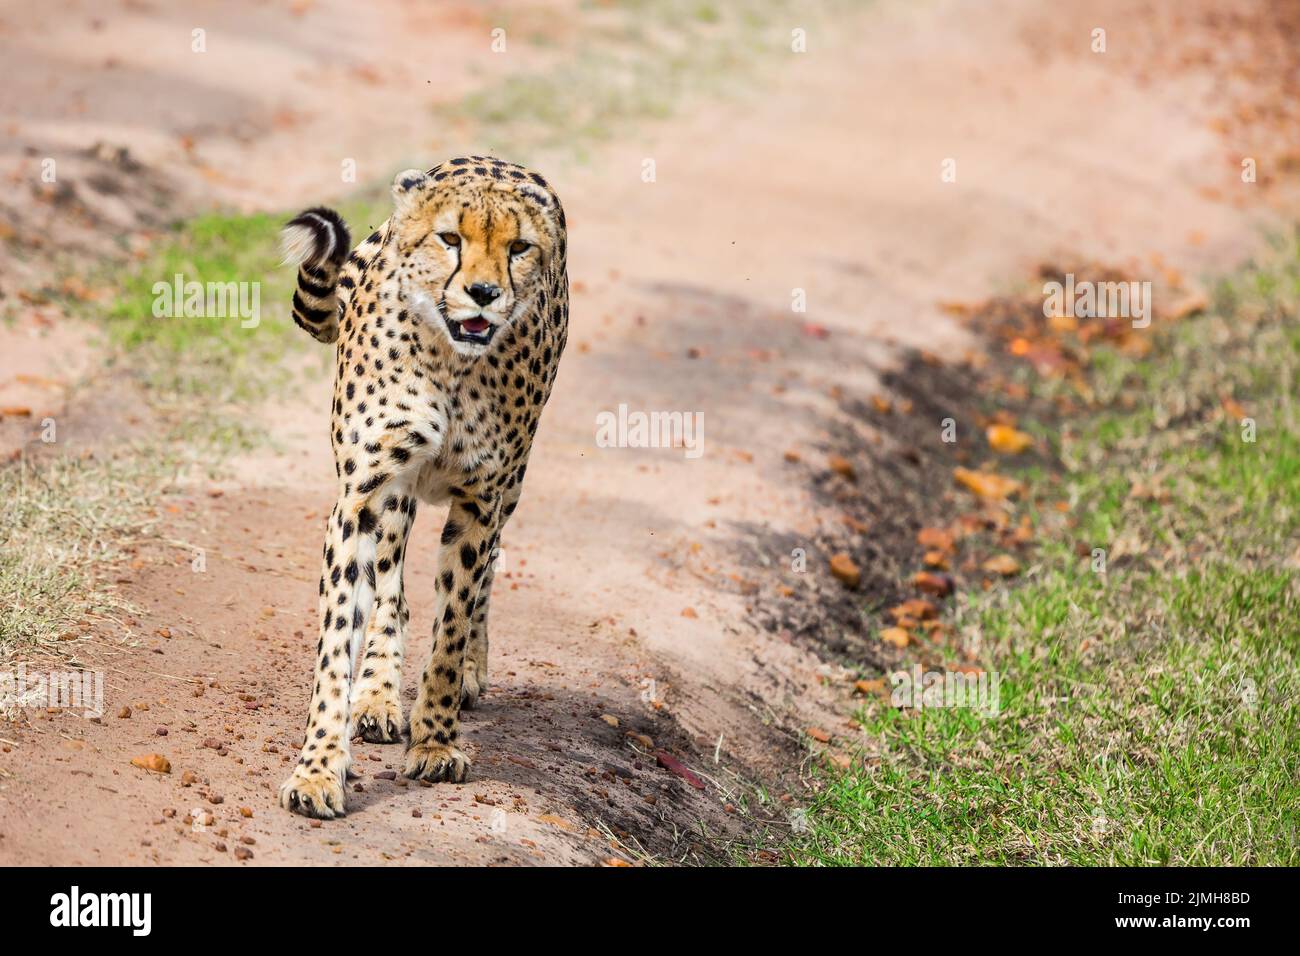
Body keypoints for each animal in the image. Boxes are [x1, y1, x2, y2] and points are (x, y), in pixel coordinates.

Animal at [276, 153, 566, 816]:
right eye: (450, 238)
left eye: (518, 248)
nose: (484, 293)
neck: (452, 362)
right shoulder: (362, 493)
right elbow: (339, 638)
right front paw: (319, 768)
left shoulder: (482, 501)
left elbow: (453, 623)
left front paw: (435, 740)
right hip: (397, 496)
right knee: (392, 592)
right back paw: (378, 696)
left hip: (509, 489)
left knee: (482, 583)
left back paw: (465, 677)